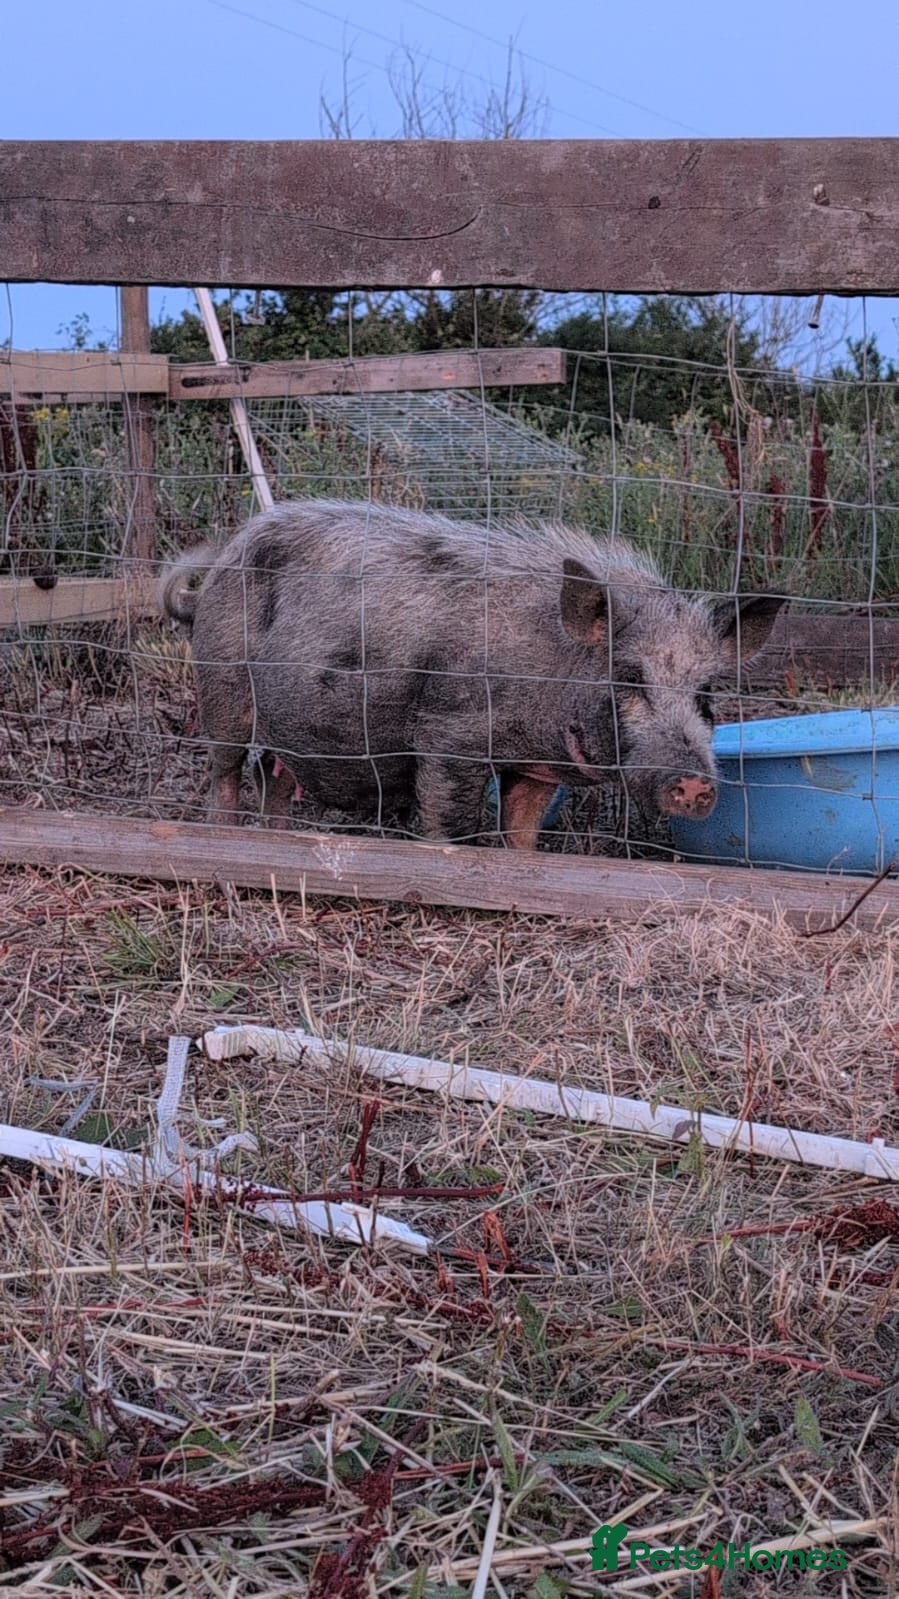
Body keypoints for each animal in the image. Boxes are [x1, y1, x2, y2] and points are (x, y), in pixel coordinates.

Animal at [160, 499, 784, 849]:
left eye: (707, 693)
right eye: (629, 678)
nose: (696, 783)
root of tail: (227, 552)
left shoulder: (535, 767)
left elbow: (522, 836)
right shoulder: (449, 736)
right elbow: (454, 822)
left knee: (272, 774)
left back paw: (280, 839)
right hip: (222, 685)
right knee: (226, 770)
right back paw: (224, 834)